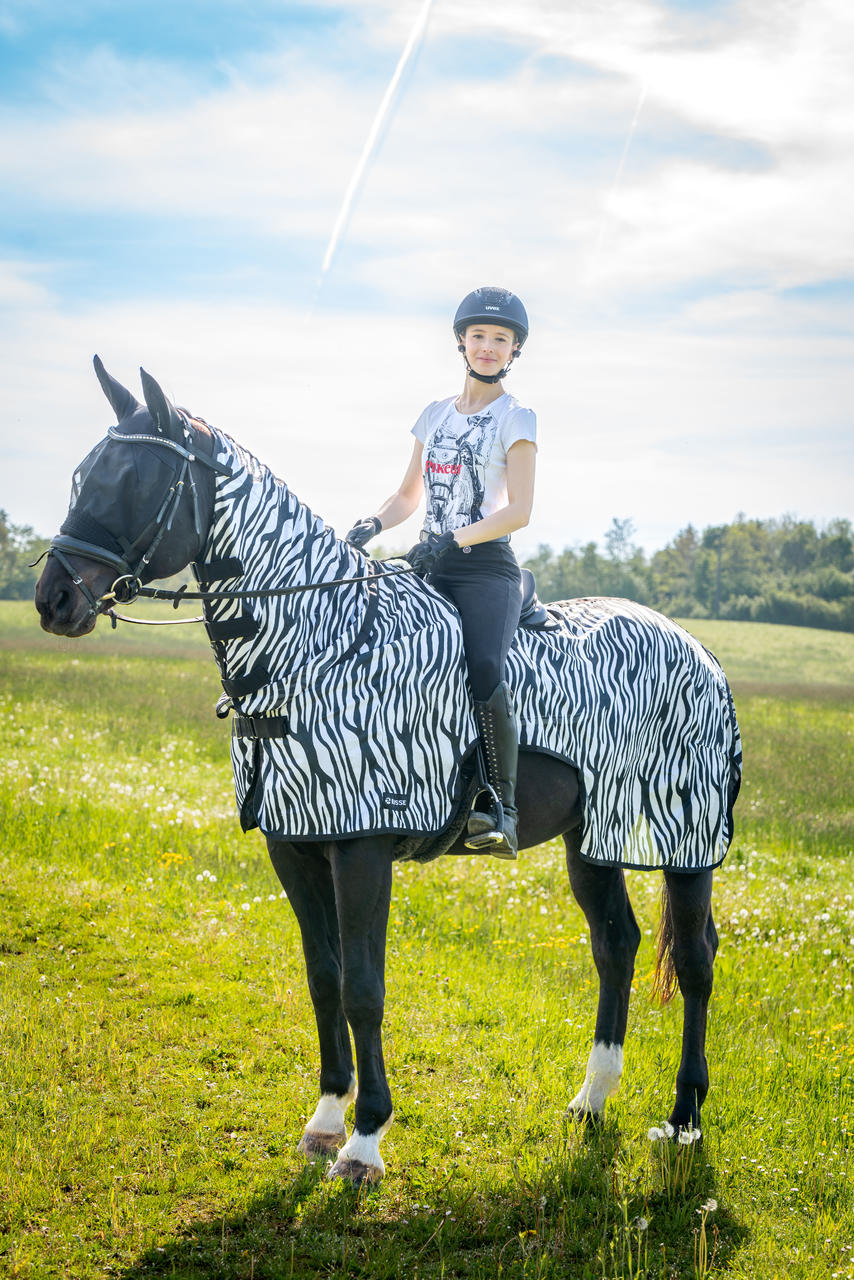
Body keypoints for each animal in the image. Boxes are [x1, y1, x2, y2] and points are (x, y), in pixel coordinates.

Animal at [35, 360, 742, 1187]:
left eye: (131, 479)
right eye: (83, 474)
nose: (53, 599)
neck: (319, 646)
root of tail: (700, 651)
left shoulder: (362, 848)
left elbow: (365, 990)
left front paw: (365, 1140)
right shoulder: (294, 847)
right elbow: (325, 979)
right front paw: (324, 1119)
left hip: (687, 840)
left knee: (694, 961)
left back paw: (684, 1117)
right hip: (589, 838)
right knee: (616, 945)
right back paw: (592, 1098)